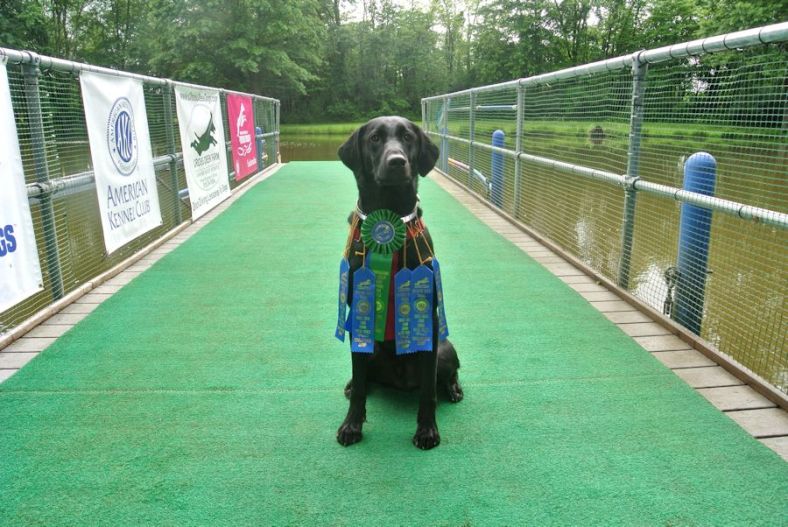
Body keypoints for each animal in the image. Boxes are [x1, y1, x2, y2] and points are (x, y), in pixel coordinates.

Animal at [336, 116, 463, 450]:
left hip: (443, 349)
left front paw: (427, 430)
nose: (397, 162)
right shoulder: (360, 313)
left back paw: (454, 389)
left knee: (446, 376)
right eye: (375, 138)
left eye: (407, 137)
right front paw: (351, 426)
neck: (389, 214)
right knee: (365, 379)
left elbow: (429, 392)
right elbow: (360, 389)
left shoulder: (429, 318)